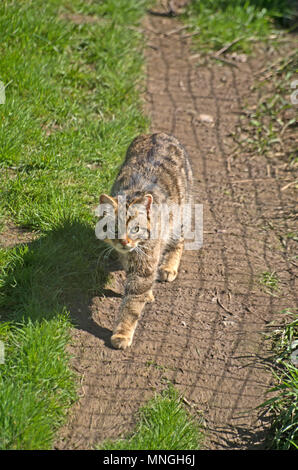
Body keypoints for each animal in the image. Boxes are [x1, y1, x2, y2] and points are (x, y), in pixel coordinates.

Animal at [98, 132, 193, 348]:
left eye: (135, 229)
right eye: (115, 229)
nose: (124, 242)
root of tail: (159, 133)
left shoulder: (145, 262)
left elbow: (132, 304)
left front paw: (122, 333)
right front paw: (147, 293)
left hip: (181, 212)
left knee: (179, 241)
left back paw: (169, 266)